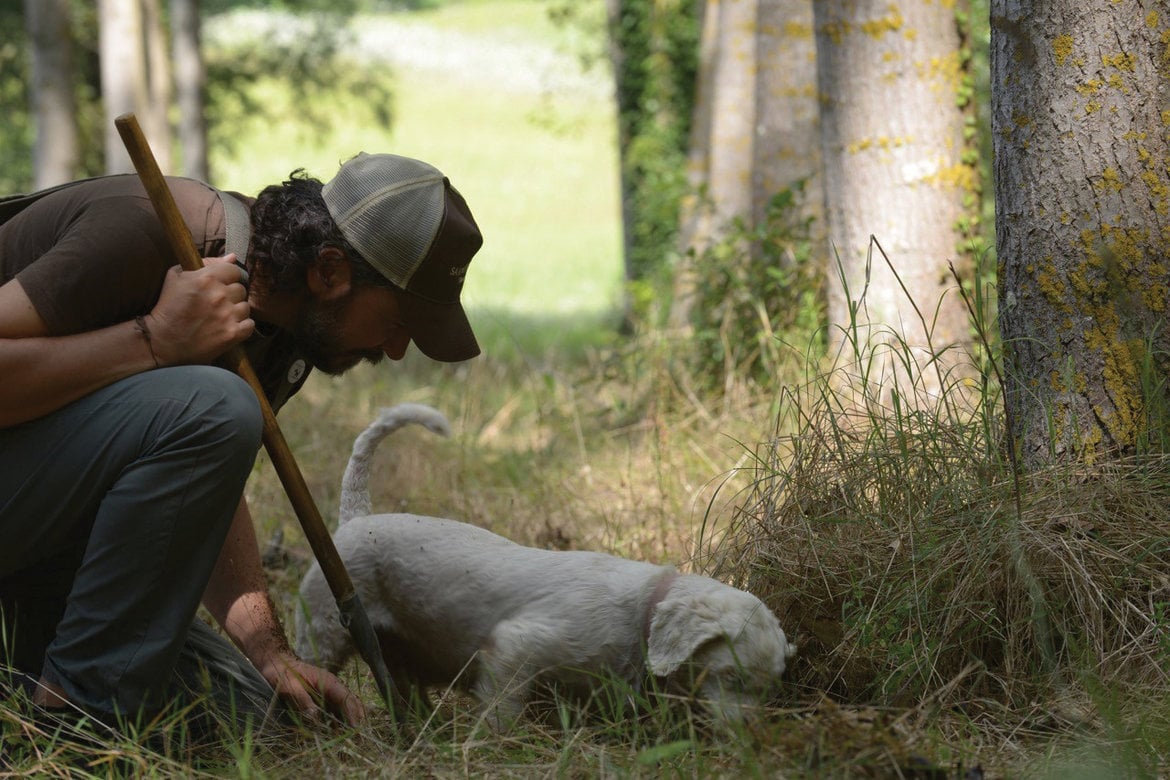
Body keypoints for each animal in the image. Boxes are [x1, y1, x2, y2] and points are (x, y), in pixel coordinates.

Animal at [297, 406, 800, 729]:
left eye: (768, 691)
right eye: (731, 677)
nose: (748, 736)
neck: (641, 610)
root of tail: (354, 518)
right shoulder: (515, 649)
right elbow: (502, 712)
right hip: (324, 630)